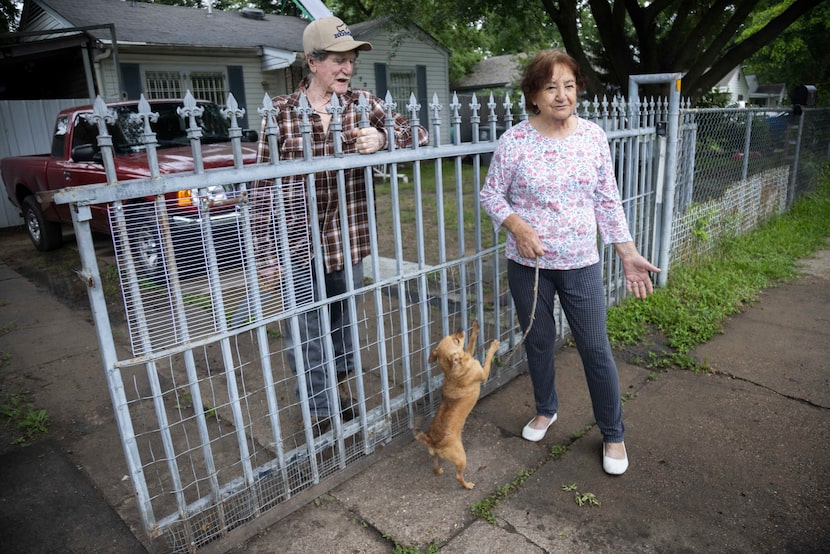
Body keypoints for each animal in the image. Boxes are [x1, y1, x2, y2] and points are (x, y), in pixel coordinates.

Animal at [416, 320, 500, 488]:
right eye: (455, 340)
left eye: (454, 336)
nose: (460, 329)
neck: (452, 370)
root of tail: (432, 441)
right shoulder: (484, 373)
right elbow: (488, 358)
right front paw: (493, 346)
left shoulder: (468, 352)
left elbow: (471, 345)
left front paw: (475, 328)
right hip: (461, 458)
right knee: (458, 476)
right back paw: (467, 485)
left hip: (435, 456)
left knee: (435, 464)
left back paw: (438, 471)